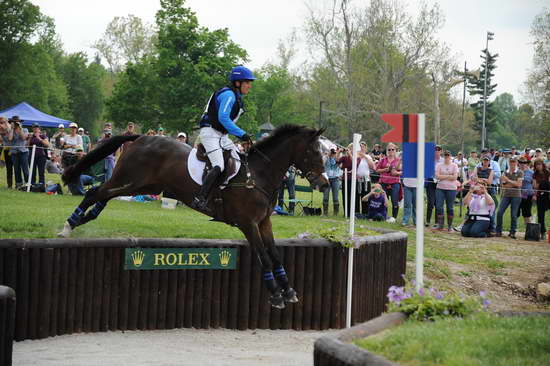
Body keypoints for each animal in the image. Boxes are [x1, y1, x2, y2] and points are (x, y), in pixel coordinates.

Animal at [58, 124, 330, 308]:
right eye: (315, 153)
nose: (325, 184)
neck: (258, 175)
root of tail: (142, 137)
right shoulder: (248, 224)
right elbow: (264, 257)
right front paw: (275, 294)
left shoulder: (264, 222)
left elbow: (274, 255)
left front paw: (288, 290)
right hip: (129, 178)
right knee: (95, 191)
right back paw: (68, 225)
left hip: (140, 185)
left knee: (104, 194)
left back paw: (84, 218)